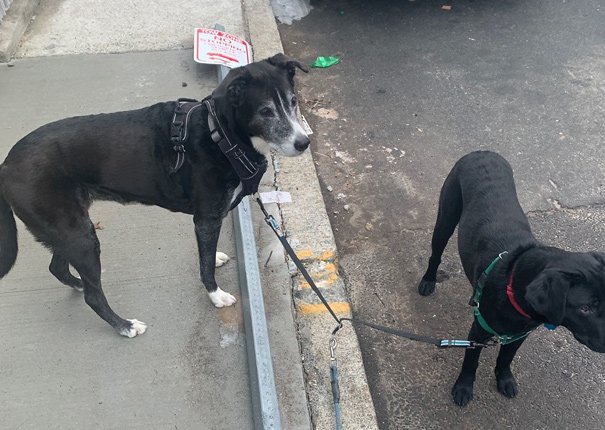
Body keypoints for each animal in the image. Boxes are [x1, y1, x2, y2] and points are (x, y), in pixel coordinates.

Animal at [0, 53, 310, 338]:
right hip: (78, 235)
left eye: (293, 102)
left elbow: (208, 255)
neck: (220, 134)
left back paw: (78, 282)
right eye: (265, 111)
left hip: (65, 231)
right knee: (92, 295)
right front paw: (216, 295)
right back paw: (124, 325)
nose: (304, 142)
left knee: (58, 268)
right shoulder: (207, 219)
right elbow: (205, 267)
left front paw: (216, 258)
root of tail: (5, 165)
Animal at [418, 151, 604, 406]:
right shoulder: (479, 331)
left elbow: (506, 358)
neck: (512, 282)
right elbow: (471, 361)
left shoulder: (518, 335)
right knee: (435, 255)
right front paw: (464, 387)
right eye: (585, 308)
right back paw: (428, 280)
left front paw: (504, 379)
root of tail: (482, 152)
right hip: (445, 220)